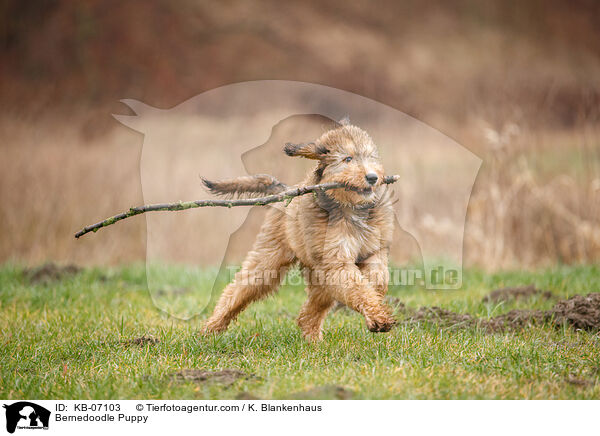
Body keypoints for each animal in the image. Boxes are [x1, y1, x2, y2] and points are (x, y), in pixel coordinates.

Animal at [204, 122, 396, 340]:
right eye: (348, 159)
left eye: (371, 157)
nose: (373, 177)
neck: (352, 208)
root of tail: (286, 192)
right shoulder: (336, 261)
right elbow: (358, 287)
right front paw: (377, 316)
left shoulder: (373, 251)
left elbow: (377, 279)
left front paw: (377, 308)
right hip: (269, 260)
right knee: (238, 289)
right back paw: (212, 327)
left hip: (317, 273)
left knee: (310, 311)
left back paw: (313, 340)